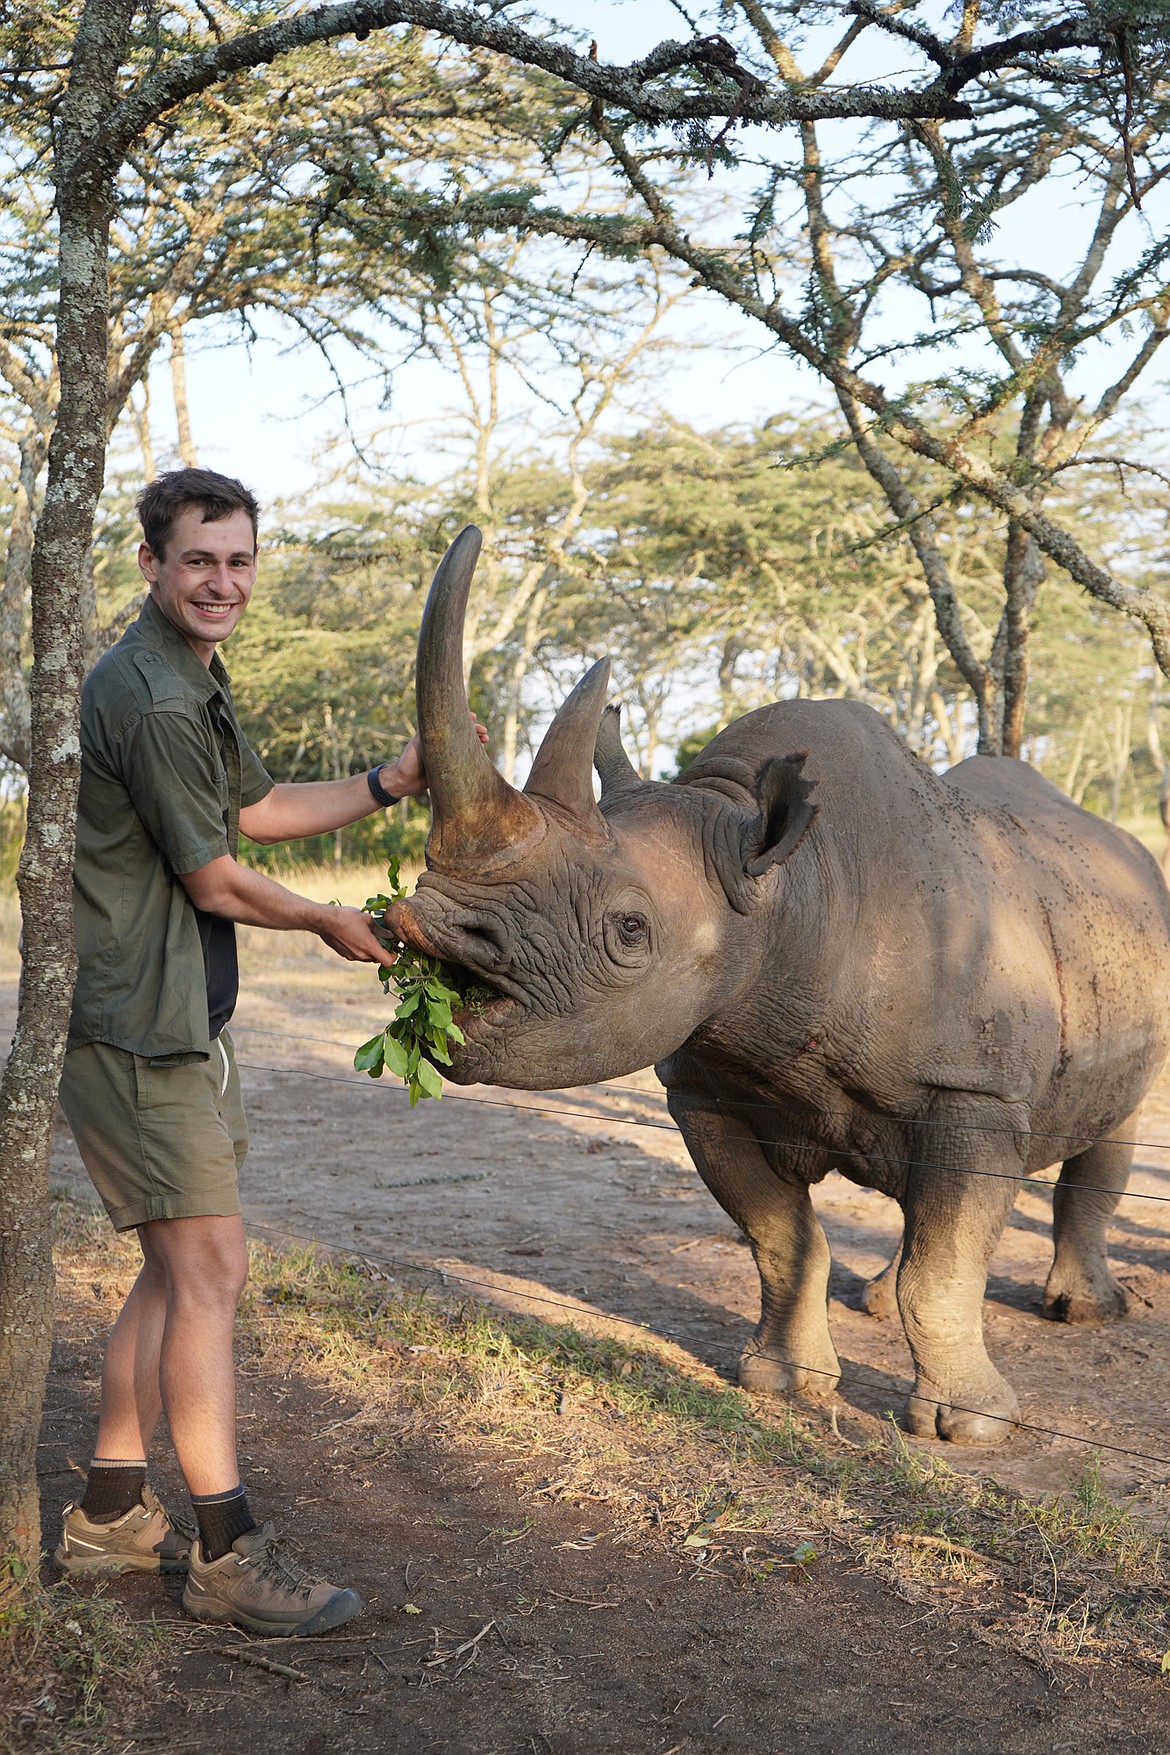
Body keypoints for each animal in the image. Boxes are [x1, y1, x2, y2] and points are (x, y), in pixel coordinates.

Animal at [392, 526, 1170, 1446]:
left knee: (1110, 1120)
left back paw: (1085, 1312)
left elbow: (944, 1266)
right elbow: (783, 1237)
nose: (427, 926)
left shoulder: (973, 1091)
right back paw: (876, 1301)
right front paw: (783, 1383)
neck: (787, 890)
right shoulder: (707, 1082)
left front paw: (972, 1429)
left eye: (630, 929)